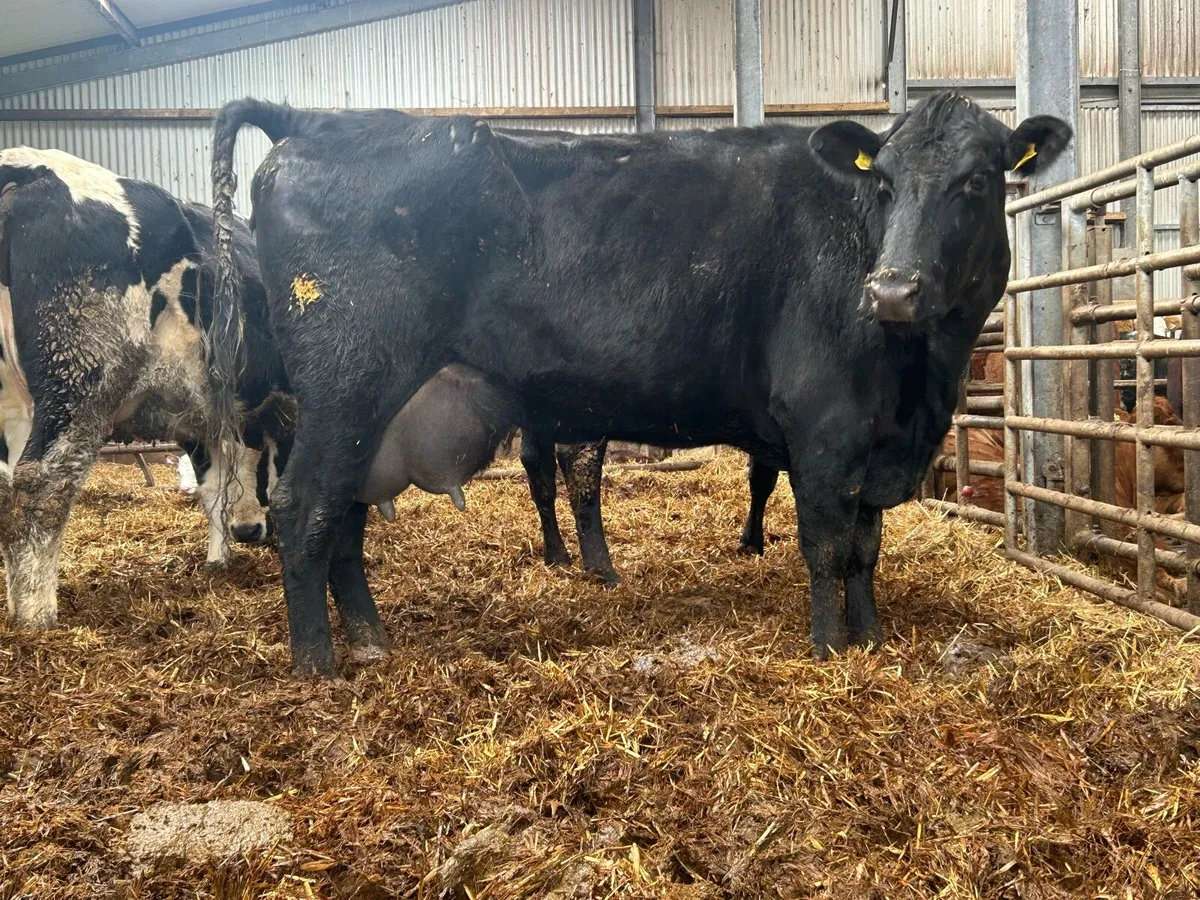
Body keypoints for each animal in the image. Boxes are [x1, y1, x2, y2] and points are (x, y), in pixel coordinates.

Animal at [0, 148, 288, 630]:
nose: (249, 532)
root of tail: (24, 168)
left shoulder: (201, 422)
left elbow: (213, 489)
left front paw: (218, 562)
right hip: (80, 385)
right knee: (43, 487)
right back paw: (36, 615)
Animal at [209, 92, 1071, 675]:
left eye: (979, 179)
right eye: (884, 182)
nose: (891, 290)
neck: (919, 383)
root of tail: (314, 119)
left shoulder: (875, 439)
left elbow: (866, 548)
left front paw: (873, 639)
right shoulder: (825, 426)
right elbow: (827, 546)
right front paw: (830, 650)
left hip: (366, 407)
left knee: (345, 513)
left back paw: (370, 642)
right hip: (346, 384)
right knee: (304, 507)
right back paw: (318, 663)